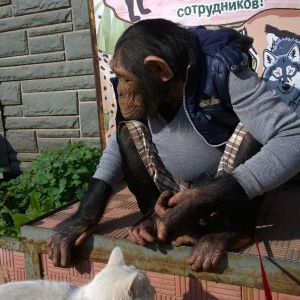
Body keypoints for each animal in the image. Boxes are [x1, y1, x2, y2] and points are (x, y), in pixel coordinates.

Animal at [48, 18, 300, 272]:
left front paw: (180, 212)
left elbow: (286, 133)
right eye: (118, 76)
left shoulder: (235, 76)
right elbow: (114, 146)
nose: (118, 91)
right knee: (128, 129)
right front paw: (79, 223)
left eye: (126, 77)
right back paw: (151, 223)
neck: (176, 88)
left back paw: (228, 232)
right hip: (168, 186)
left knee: (254, 130)